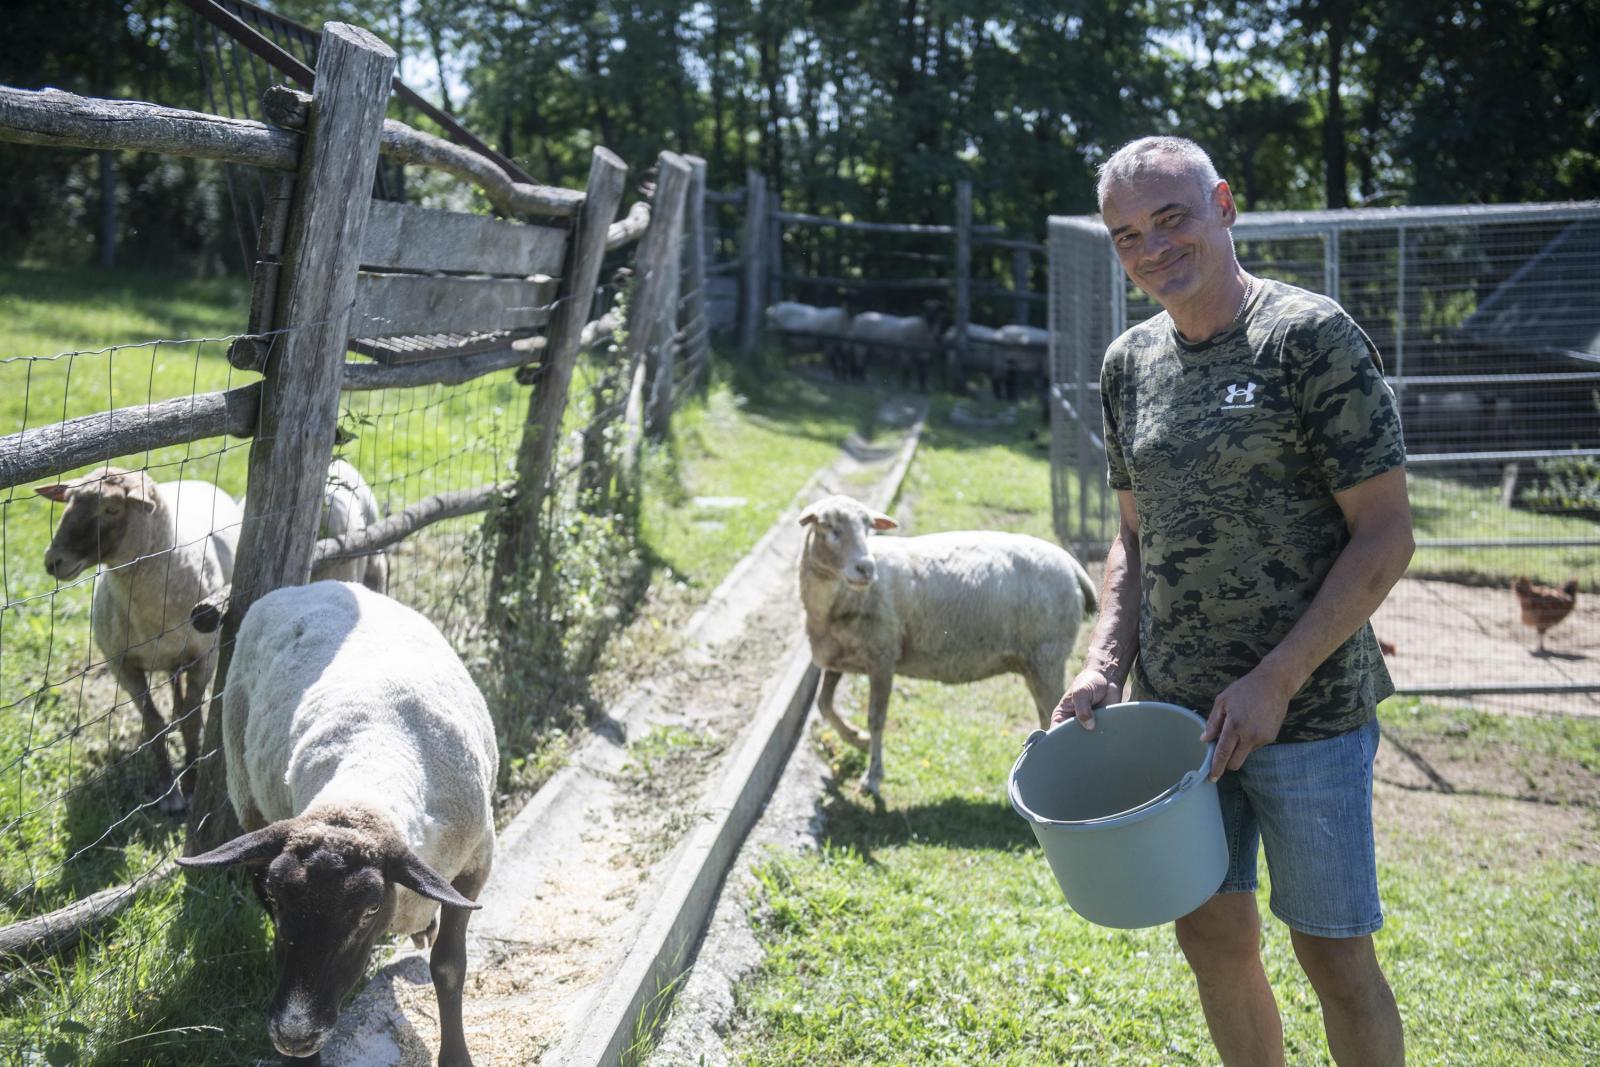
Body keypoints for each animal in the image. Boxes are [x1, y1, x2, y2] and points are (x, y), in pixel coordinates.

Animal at [37, 470, 241, 819]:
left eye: (112, 509)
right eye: (68, 502)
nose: (53, 561)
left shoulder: (205, 656)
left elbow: (191, 720)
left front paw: (191, 782)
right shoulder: (121, 665)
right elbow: (153, 724)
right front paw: (168, 791)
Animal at [178, 585, 496, 1067]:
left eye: (368, 909)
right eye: (277, 898)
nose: (294, 1035)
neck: (370, 774)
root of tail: (305, 586)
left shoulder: (476, 863)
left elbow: (448, 967)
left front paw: (456, 1056)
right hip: (246, 791)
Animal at [800, 495, 1100, 793]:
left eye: (868, 528)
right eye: (827, 526)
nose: (866, 568)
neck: (835, 603)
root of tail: (1072, 565)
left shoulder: (882, 658)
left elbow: (876, 719)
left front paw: (872, 776)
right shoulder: (837, 659)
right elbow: (824, 704)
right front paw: (857, 739)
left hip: (1047, 656)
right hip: (1034, 663)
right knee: (1045, 714)